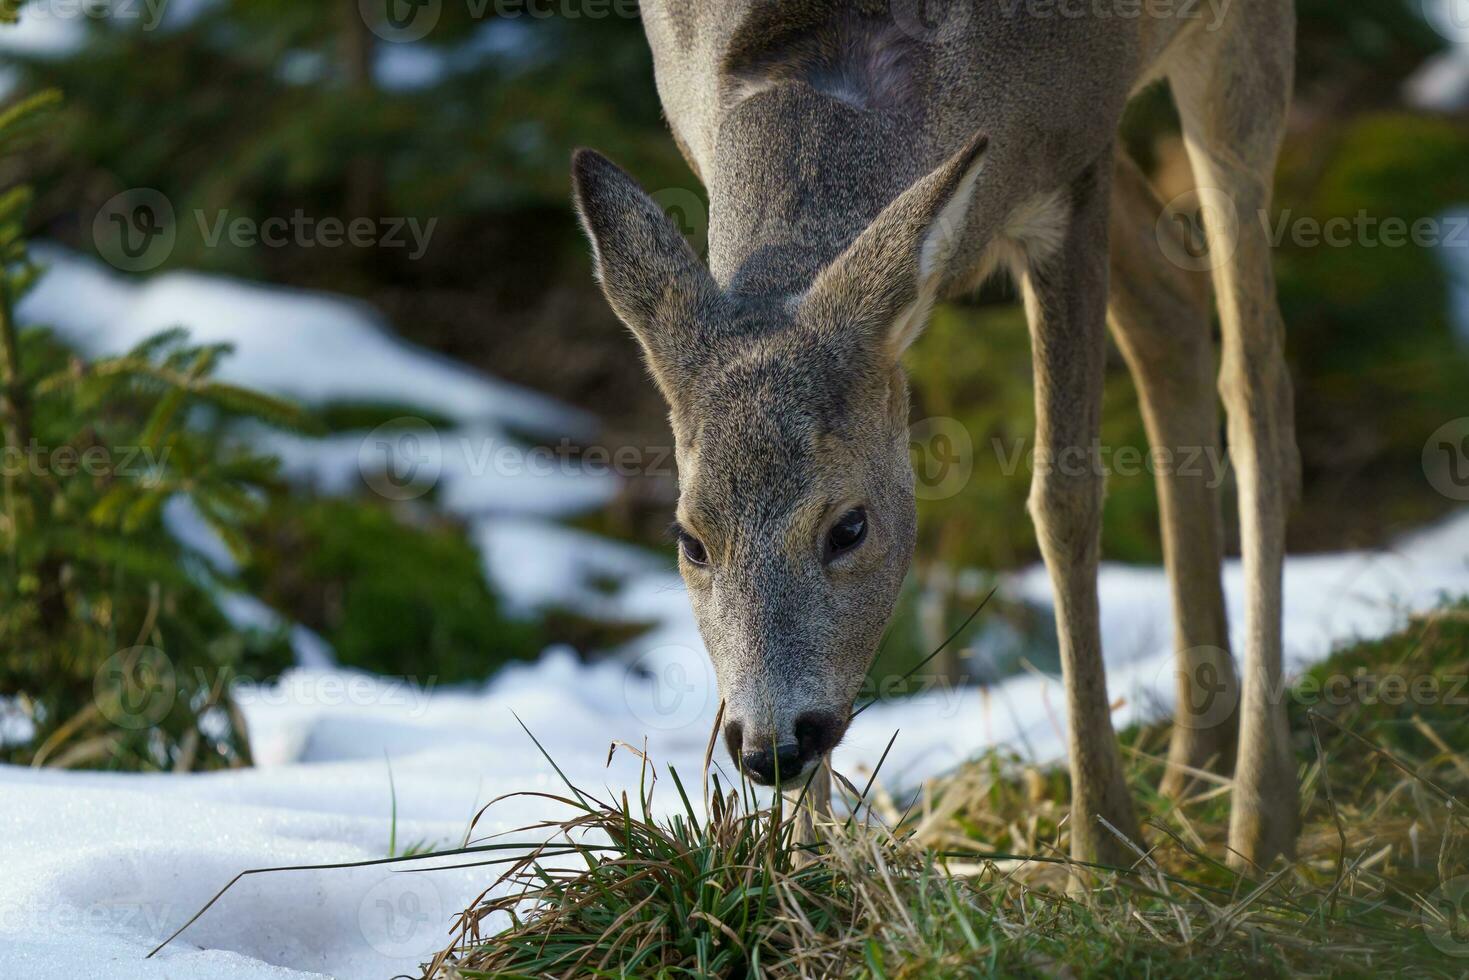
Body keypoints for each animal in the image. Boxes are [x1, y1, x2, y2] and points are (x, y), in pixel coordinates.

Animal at [567, 0, 1304, 863]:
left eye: (848, 527)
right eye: (690, 540)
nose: (772, 747)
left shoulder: (1074, 157)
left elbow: (1064, 502)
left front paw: (1102, 854)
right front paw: (806, 873)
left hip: (1229, 49)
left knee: (1255, 379)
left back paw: (1259, 821)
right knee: (1172, 312)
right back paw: (1196, 763)